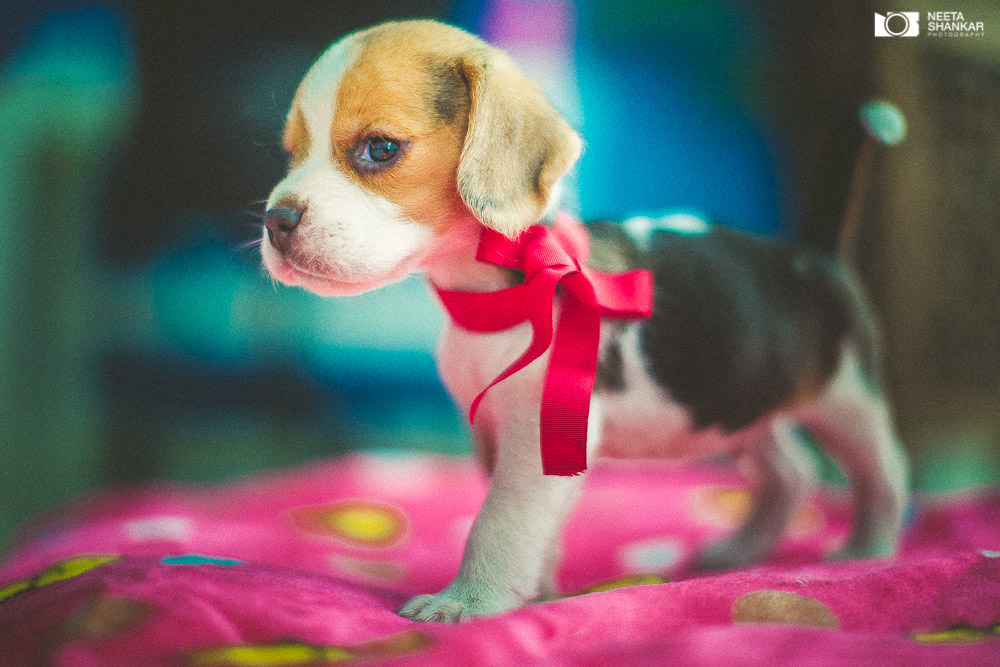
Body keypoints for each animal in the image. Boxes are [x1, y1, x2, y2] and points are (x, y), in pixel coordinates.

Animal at [260, 20, 908, 628]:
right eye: (292, 152)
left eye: (381, 148)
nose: (276, 220)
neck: (507, 287)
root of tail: (811, 253)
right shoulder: (501, 434)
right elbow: (532, 528)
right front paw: (538, 592)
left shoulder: (535, 438)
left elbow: (499, 523)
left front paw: (467, 601)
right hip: (734, 403)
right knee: (791, 473)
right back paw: (741, 551)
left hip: (848, 400)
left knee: (882, 475)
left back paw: (867, 550)